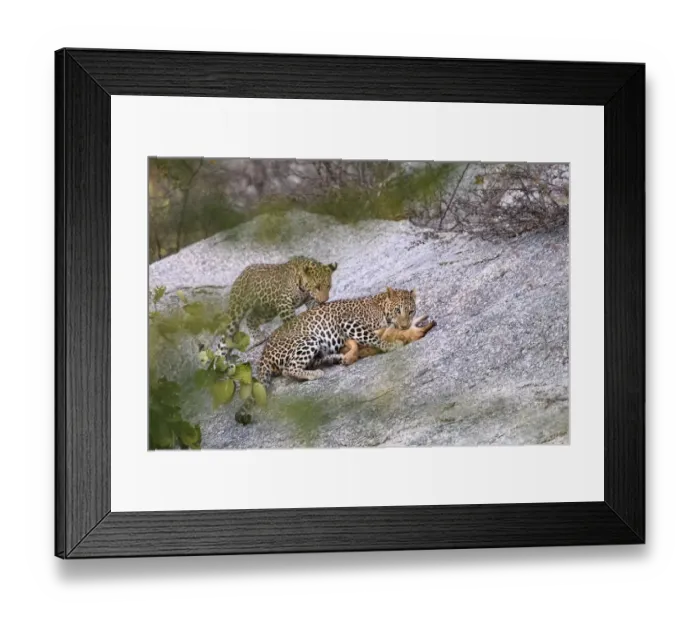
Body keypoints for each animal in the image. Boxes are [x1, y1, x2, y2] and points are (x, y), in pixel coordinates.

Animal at [233, 286, 419, 424]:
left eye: (411, 312)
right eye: (398, 310)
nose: (405, 326)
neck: (380, 306)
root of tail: (264, 352)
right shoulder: (349, 322)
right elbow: (373, 337)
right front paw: (391, 345)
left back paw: (335, 358)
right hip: (309, 339)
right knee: (288, 369)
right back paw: (315, 374)